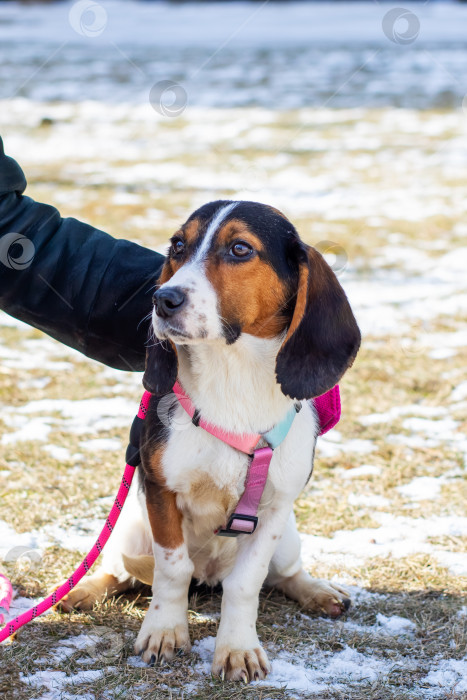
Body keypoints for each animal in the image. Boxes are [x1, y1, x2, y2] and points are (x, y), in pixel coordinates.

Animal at [61, 201, 362, 684]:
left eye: (240, 248)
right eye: (177, 247)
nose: (162, 299)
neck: (232, 376)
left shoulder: (274, 509)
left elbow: (246, 584)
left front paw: (237, 648)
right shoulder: (161, 491)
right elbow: (173, 570)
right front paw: (164, 632)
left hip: (288, 539)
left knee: (285, 575)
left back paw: (318, 591)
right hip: (129, 531)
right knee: (119, 573)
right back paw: (83, 591)